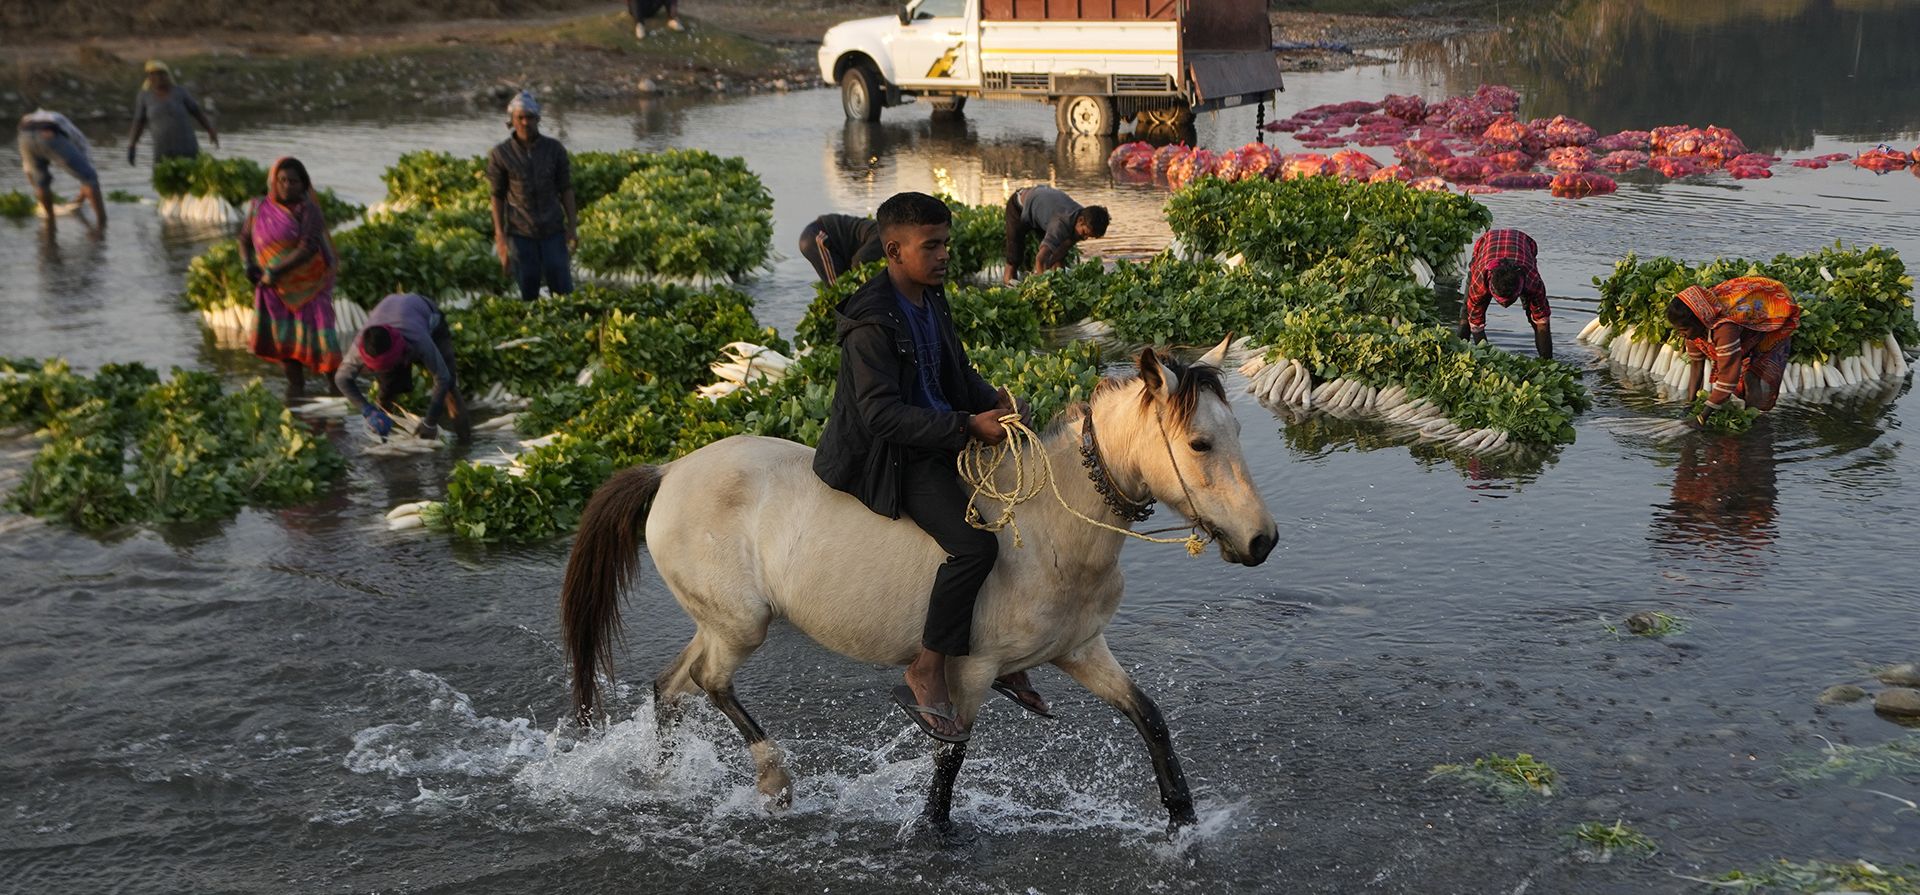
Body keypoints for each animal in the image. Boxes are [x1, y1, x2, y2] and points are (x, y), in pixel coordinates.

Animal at [559, 340, 1278, 833]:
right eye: (1200, 442)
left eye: (1238, 433)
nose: (1262, 540)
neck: (1052, 530)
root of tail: (669, 470)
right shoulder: (971, 669)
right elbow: (949, 764)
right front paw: (934, 830)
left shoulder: (1081, 650)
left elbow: (1149, 716)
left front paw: (1183, 818)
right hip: (741, 624)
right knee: (710, 682)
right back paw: (773, 777)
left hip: (716, 622)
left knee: (670, 687)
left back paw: (661, 780)